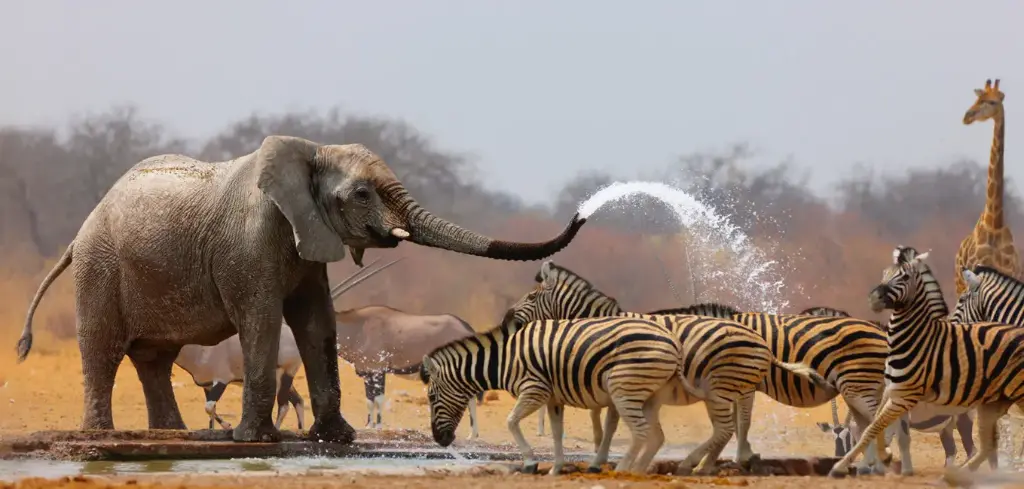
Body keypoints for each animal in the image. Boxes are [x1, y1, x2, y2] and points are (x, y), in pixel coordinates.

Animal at [15, 135, 587, 444]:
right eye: (362, 194)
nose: (582, 212)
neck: (311, 151)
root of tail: (81, 231)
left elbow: (317, 322)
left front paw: (337, 438)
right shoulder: (249, 243)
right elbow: (262, 320)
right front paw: (255, 440)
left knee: (155, 357)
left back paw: (171, 435)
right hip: (100, 267)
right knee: (104, 349)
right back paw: (102, 436)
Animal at [419, 315, 683, 475]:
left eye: (431, 398)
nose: (440, 440)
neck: (505, 359)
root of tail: (672, 340)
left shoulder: (535, 389)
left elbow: (511, 421)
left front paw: (530, 462)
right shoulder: (553, 398)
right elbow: (556, 433)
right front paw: (556, 468)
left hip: (624, 389)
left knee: (641, 432)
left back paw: (624, 470)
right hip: (647, 394)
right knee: (654, 435)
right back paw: (636, 470)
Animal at [505, 260, 833, 476]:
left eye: (532, 296)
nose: (507, 319)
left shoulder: (616, 380)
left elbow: (609, 425)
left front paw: (602, 461)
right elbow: (606, 422)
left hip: (726, 385)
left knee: (735, 422)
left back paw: (710, 462)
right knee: (736, 422)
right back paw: (721, 462)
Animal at [800, 305, 979, 468]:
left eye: (848, 435)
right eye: (832, 435)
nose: (838, 455)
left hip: (963, 419)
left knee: (972, 451)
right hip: (946, 426)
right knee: (952, 452)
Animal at [827, 246, 1024, 478]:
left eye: (904, 276)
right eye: (884, 273)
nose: (874, 298)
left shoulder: (903, 397)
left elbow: (875, 428)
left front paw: (860, 465)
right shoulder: (890, 392)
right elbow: (876, 426)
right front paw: (882, 459)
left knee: (975, 447)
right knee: (983, 446)